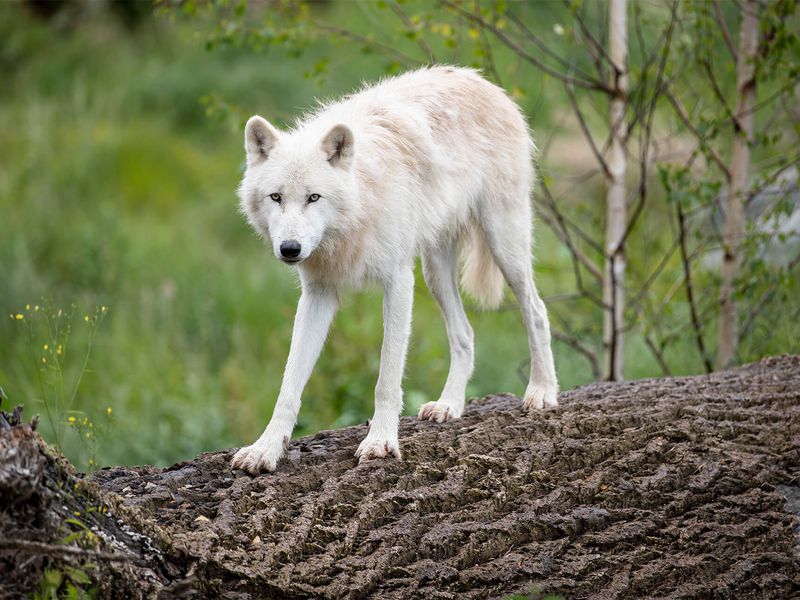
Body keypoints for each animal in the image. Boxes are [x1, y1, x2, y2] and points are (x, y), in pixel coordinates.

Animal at [232, 66, 559, 474]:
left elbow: (386, 378)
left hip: (504, 244)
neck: (357, 208)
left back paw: (542, 391)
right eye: (276, 197)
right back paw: (450, 405)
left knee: (537, 310)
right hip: (436, 272)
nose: (290, 249)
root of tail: (479, 79)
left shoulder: (399, 281)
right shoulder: (318, 294)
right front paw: (266, 449)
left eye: (313, 197)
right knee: (465, 334)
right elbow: (289, 383)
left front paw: (381, 441)